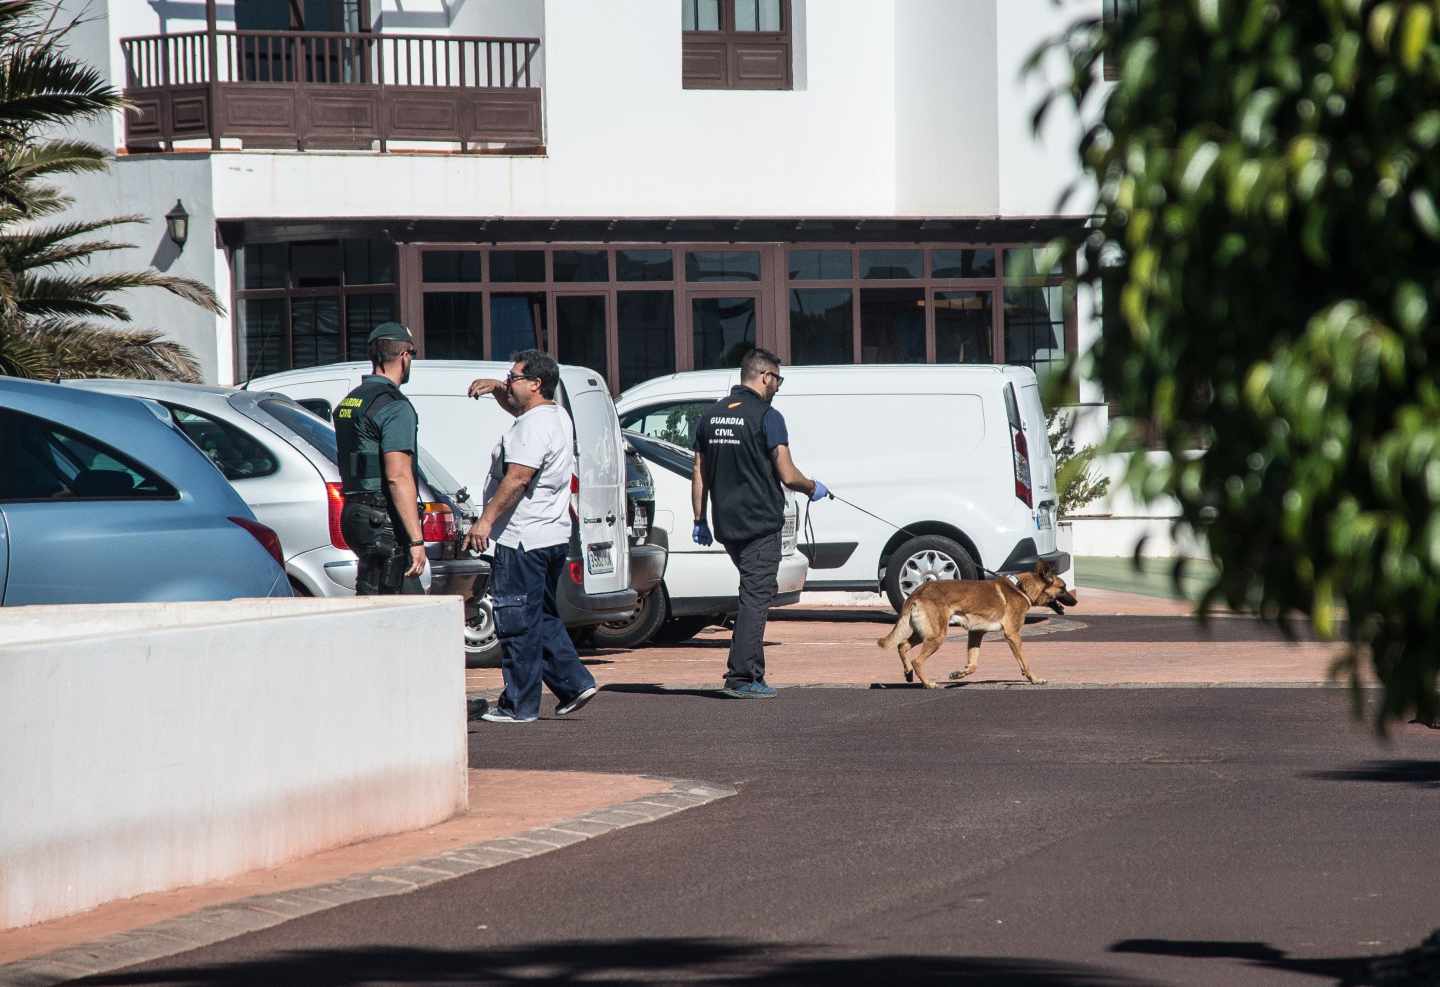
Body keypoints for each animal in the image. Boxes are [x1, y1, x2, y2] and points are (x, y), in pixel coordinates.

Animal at [869, 559, 1077, 688]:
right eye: (1063, 587)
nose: (1075, 601)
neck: (1021, 589)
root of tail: (919, 591)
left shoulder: (976, 634)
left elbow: (973, 664)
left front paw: (959, 675)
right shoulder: (1012, 635)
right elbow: (1024, 662)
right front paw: (1034, 679)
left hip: (924, 633)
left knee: (902, 645)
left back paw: (908, 673)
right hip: (937, 636)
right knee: (916, 659)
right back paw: (927, 683)